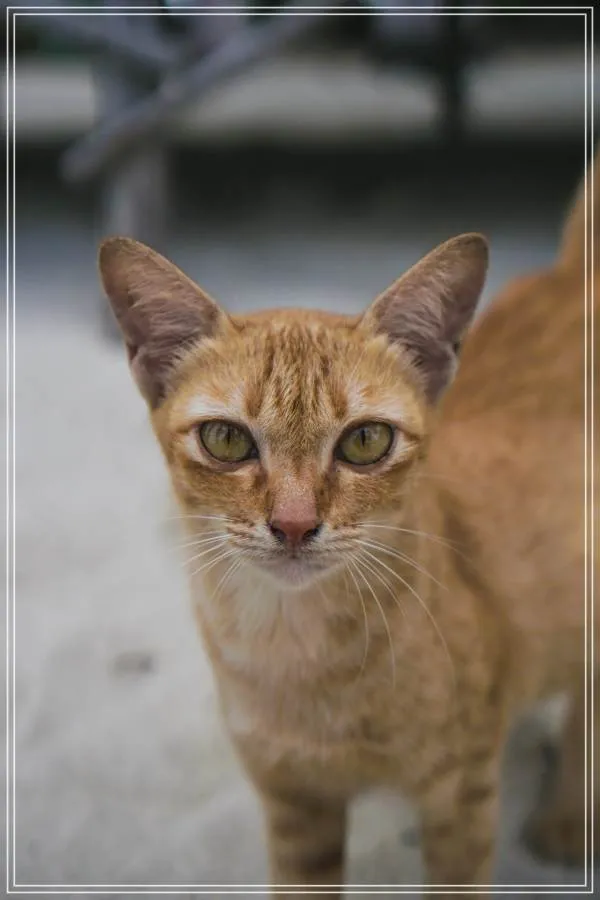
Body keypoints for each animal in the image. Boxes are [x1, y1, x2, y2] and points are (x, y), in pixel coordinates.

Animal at [99, 152, 597, 898]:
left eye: (365, 441)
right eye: (226, 439)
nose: (294, 524)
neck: (295, 649)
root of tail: (572, 275)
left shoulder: (462, 795)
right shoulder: (295, 805)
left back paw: (566, 816)